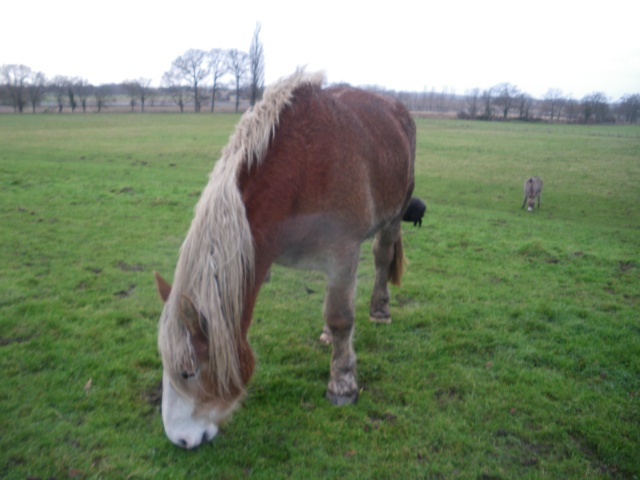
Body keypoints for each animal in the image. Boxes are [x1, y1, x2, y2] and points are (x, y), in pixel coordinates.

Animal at [154, 69, 416, 448]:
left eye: (188, 372)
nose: (180, 439)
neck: (301, 168)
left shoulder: (343, 251)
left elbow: (342, 317)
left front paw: (342, 384)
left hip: (395, 212)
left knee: (382, 255)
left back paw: (380, 309)